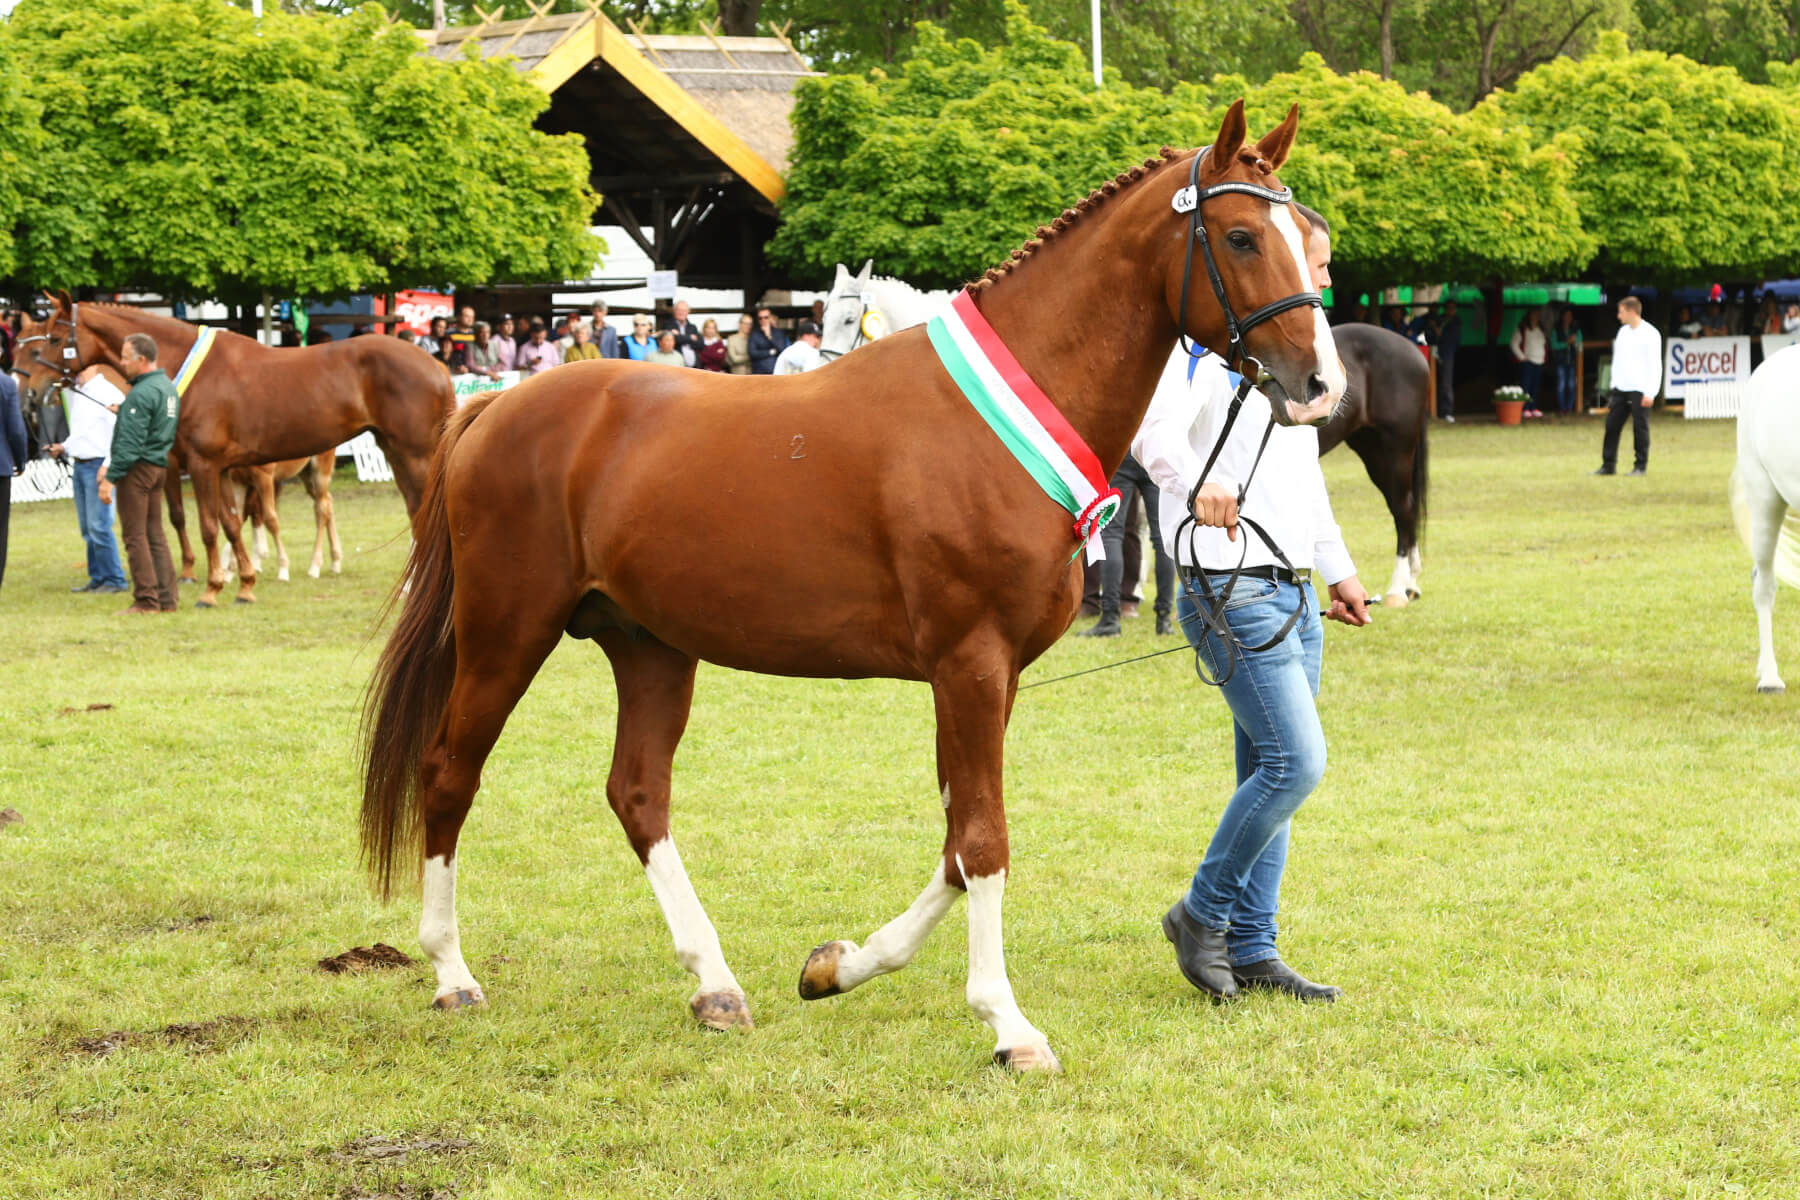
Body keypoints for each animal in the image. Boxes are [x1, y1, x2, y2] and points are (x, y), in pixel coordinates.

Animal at [12, 297, 452, 606]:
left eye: (53, 340)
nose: (28, 394)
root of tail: (438, 367)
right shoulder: (223, 470)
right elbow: (231, 524)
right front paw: (244, 586)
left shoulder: (203, 465)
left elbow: (208, 526)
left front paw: (211, 591)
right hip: (395, 452)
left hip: (413, 455)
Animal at [360, 101, 1346, 1073]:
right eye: (1241, 237)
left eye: (1312, 238)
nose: (1319, 385)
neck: (1001, 419)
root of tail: (493, 405)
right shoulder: (970, 663)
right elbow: (983, 840)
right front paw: (1008, 1025)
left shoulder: (992, 676)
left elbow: (956, 844)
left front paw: (838, 966)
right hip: (506, 631)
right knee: (449, 772)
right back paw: (452, 973)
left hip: (650, 647)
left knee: (638, 794)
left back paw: (714, 984)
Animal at [821, 281, 1430, 606]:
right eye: (822, 315)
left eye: (851, 318)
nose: (822, 368)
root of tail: (1409, 346)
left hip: (1390, 450)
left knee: (1402, 512)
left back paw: (1401, 587)